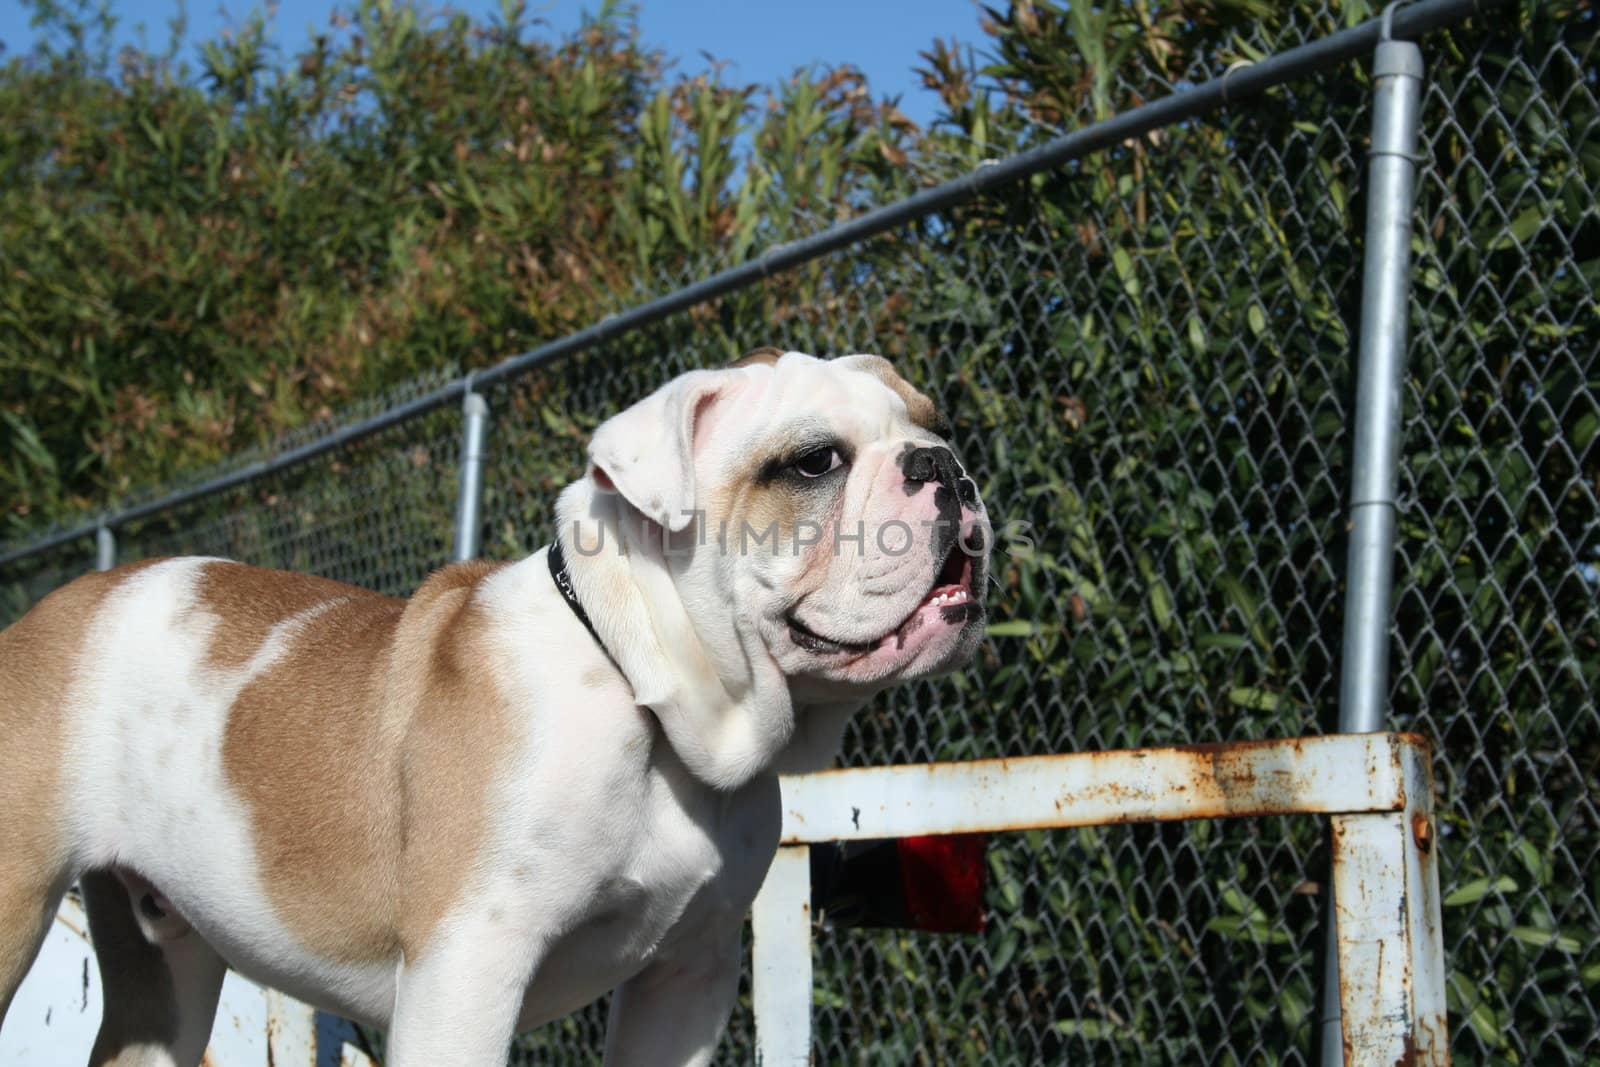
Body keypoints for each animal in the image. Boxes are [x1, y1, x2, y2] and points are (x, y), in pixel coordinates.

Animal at [0, 351, 985, 1067]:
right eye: (815, 460)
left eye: (936, 426)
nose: (948, 466)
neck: (650, 704)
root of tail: (50, 613)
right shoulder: (469, 965)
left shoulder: (687, 977)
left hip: (166, 970)